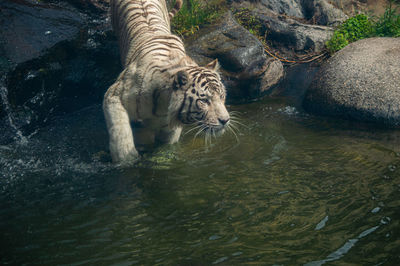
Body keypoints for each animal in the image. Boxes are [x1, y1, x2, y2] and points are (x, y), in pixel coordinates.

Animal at [104, 0, 231, 163]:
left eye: (222, 96)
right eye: (204, 101)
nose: (225, 120)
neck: (163, 107)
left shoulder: (169, 130)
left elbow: (165, 150)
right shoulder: (114, 95)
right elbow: (120, 131)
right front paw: (127, 159)